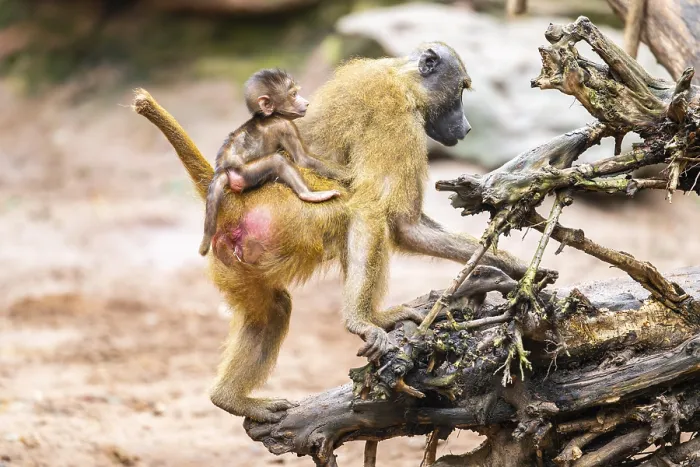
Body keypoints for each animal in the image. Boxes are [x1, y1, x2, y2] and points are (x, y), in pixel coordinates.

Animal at [198, 68, 343, 256]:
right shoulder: (285, 125)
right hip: (245, 173)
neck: (269, 116)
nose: (306, 103)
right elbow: (302, 159)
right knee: (277, 160)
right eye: (293, 94)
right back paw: (308, 194)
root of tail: (223, 169)